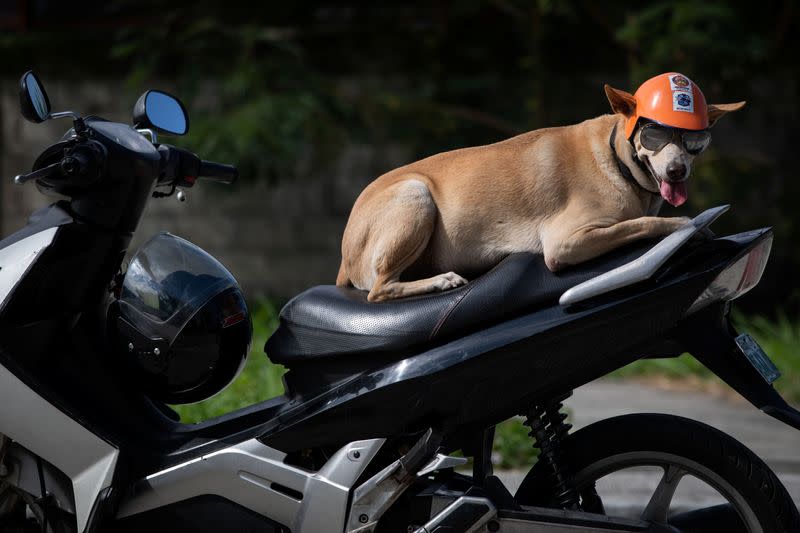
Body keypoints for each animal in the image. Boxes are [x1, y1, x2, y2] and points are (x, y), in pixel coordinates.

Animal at [336, 72, 744, 302]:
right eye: (653, 134)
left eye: (696, 140)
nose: (676, 171)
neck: (616, 156)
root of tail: (343, 259)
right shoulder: (565, 242)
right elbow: (644, 223)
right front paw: (688, 226)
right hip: (415, 196)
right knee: (379, 289)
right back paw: (439, 281)